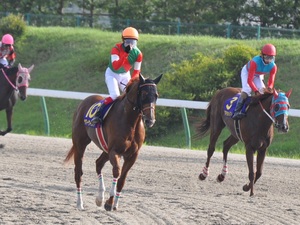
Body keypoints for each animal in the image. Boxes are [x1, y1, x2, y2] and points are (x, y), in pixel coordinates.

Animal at [64, 73, 163, 211]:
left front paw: (114, 203)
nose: (150, 120)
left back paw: (99, 198)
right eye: (143, 94)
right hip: (80, 145)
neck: (130, 122)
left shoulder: (132, 155)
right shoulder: (114, 151)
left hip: (105, 150)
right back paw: (80, 203)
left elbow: (122, 179)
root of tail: (84, 101)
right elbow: (117, 172)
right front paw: (109, 202)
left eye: (156, 95)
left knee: (98, 163)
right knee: (78, 173)